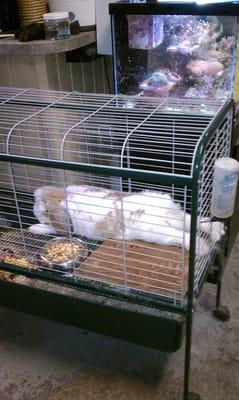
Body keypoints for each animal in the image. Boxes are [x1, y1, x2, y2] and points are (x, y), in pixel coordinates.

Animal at [29, 183, 225, 255]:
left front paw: (34, 227)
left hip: (156, 232)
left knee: (182, 235)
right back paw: (217, 230)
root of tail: (160, 210)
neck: (61, 198)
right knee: (194, 221)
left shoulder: (61, 227)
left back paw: (201, 247)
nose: (34, 210)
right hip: (177, 216)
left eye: (39, 203)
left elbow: (50, 228)